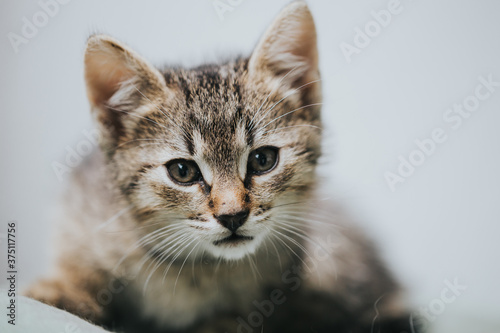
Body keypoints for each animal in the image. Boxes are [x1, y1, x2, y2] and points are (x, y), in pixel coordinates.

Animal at [26, 2, 418, 332]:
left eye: (263, 160)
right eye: (182, 172)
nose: (232, 216)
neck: (195, 270)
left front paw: (220, 323)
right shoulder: (78, 212)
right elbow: (78, 265)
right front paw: (60, 289)